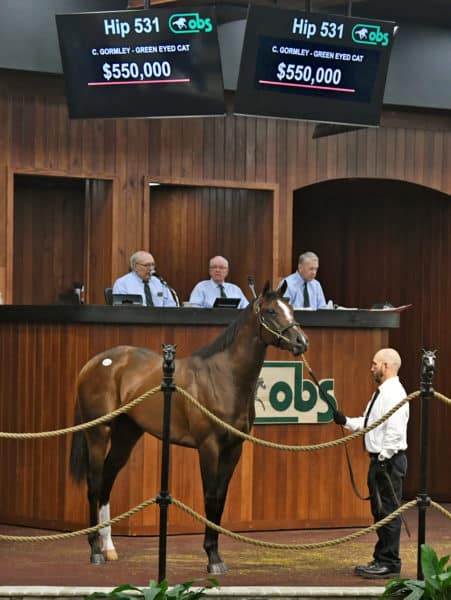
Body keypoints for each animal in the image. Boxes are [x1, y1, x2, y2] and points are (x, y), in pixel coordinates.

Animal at [70, 282, 308, 572]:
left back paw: (109, 547)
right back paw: (95, 550)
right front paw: (212, 557)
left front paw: (216, 555)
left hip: (127, 435)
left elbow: (221, 499)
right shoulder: (208, 446)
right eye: (272, 311)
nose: (301, 342)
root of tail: (95, 363)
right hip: (98, 432)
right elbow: (210, 497)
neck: (224, 378)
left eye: (291, 309)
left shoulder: (233, 448)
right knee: (94, 484)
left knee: (106, 481)